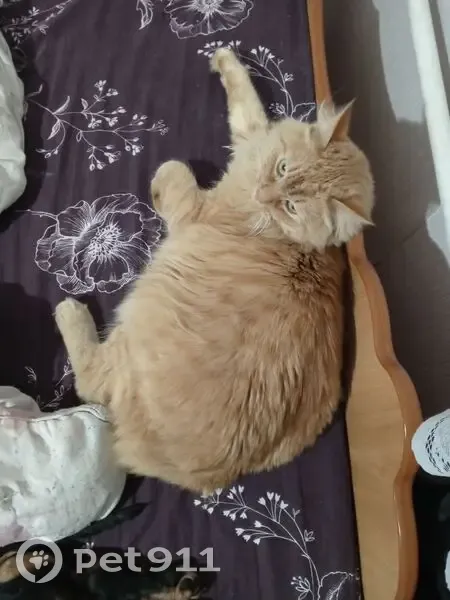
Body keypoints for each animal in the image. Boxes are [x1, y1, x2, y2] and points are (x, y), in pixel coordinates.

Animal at [54, 48, 374, 493]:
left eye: (292, 206)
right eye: (282, 168)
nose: (265, 193)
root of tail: (209, 473)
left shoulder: (195, 209)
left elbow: (174, 171)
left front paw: (162, 177)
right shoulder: (252, 139)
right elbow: (247, 101)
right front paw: (225, 59)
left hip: (138, 319)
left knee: (89, 380)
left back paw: (70, 311)